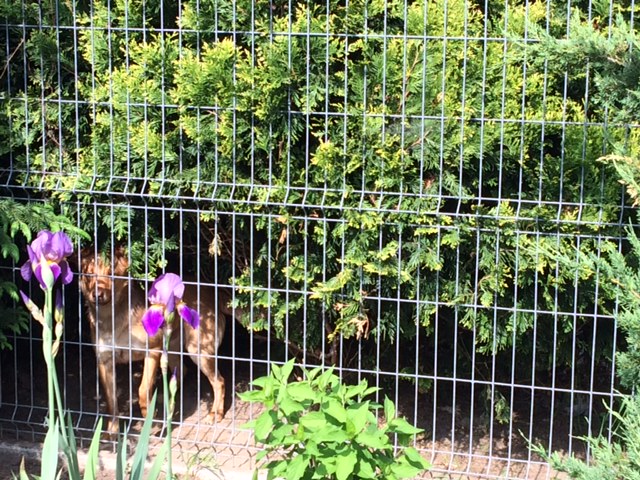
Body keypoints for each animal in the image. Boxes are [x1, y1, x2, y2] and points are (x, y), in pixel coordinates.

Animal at [79, 247, 232, 435]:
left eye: (112, 274)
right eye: (88, 275)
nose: (97, 295)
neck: (113, 319)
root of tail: (213, 293)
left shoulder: (152, 351)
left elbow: (143, 390)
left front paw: (149, 422)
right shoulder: (105, 360)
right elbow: (111, 403)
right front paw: (112, 433)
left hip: (198, 350)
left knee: (219, 382)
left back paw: (215, 414)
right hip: (172, 348)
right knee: (182, 371)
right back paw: (164, 397)